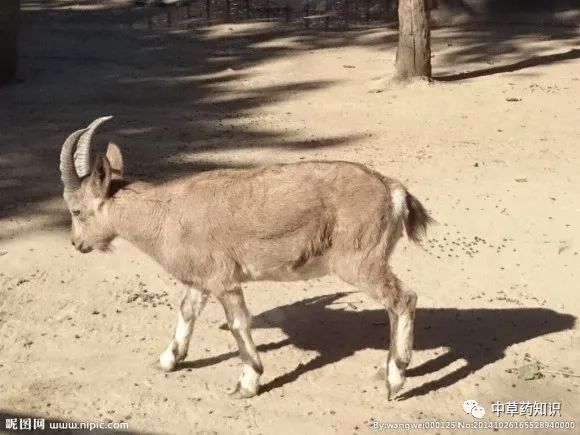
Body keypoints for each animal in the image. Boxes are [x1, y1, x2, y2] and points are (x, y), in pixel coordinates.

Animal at [59, 116, 432, 398]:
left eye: (76, 210)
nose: (77, 244)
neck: (167, 214)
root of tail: (393, 191)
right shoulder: (201, 279)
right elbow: (187, 311)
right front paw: (168, 360)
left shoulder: (223, 279)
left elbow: (239, 322)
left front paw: (248, 382)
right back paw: (387, 369)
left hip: (360, 261)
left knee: (403, 299)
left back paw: (395, 378)